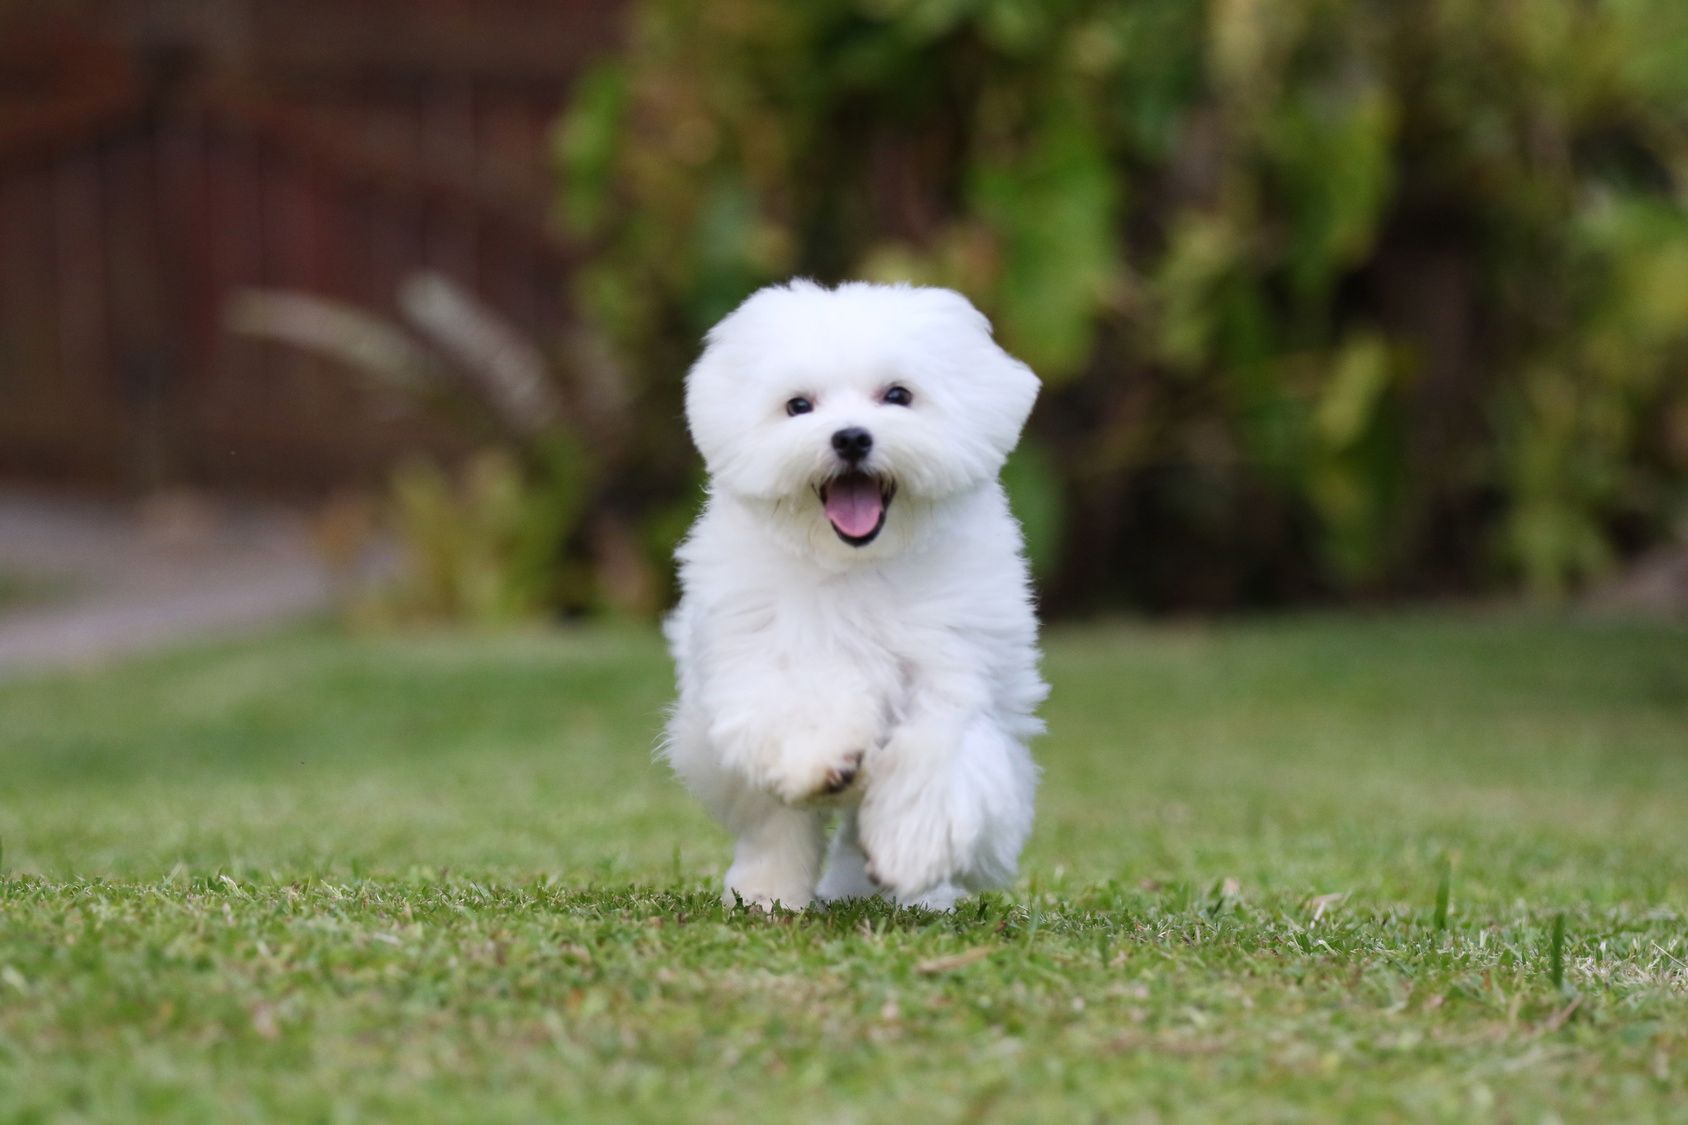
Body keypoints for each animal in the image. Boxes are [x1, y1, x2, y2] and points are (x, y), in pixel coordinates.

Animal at [658, 275, 1039, 905]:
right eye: (798, 405)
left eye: (898, 395)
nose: (852, 437)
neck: (858, 565)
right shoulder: (762, 653)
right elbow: (801, 701)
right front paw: (824, 756)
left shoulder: (955, 658)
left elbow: (940, 748)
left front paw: (914, 848)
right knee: (773, 824)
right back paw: (767, 891)